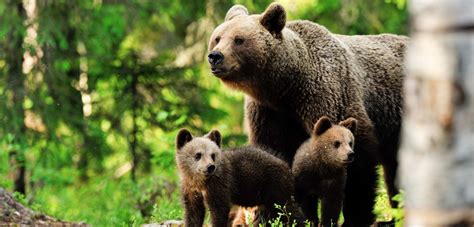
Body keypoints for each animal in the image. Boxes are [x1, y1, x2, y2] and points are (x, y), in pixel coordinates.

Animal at [207, 3, 408, 225]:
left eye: (238, 39)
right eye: (217, 37)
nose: (215, 56)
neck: (285, 89)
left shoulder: (328, 97)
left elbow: (357, 165)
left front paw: (356, 217)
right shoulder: (269, 114)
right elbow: (276, 158)